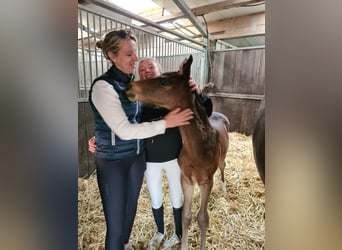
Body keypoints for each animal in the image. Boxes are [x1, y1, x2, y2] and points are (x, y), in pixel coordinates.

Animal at [125, 55, 230, 250]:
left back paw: (225, 187)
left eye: (163, 82)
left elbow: (203, 218)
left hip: (221, 159)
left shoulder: (206, 181)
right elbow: (186, 216)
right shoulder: (186, 180)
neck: (196, 148)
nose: (129, 87)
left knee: (223, 166)